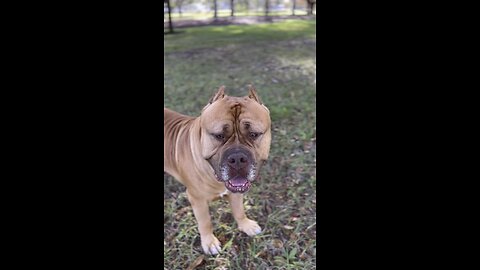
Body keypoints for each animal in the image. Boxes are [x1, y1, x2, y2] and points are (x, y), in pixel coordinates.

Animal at [164, 85, 270, 254]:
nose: (238, 159)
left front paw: (246, 225)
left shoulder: (235, 192)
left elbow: (239, 210)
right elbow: (205, 221)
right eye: (218, 135)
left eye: (254, 134)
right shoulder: (197, 199)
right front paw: (209, 242)